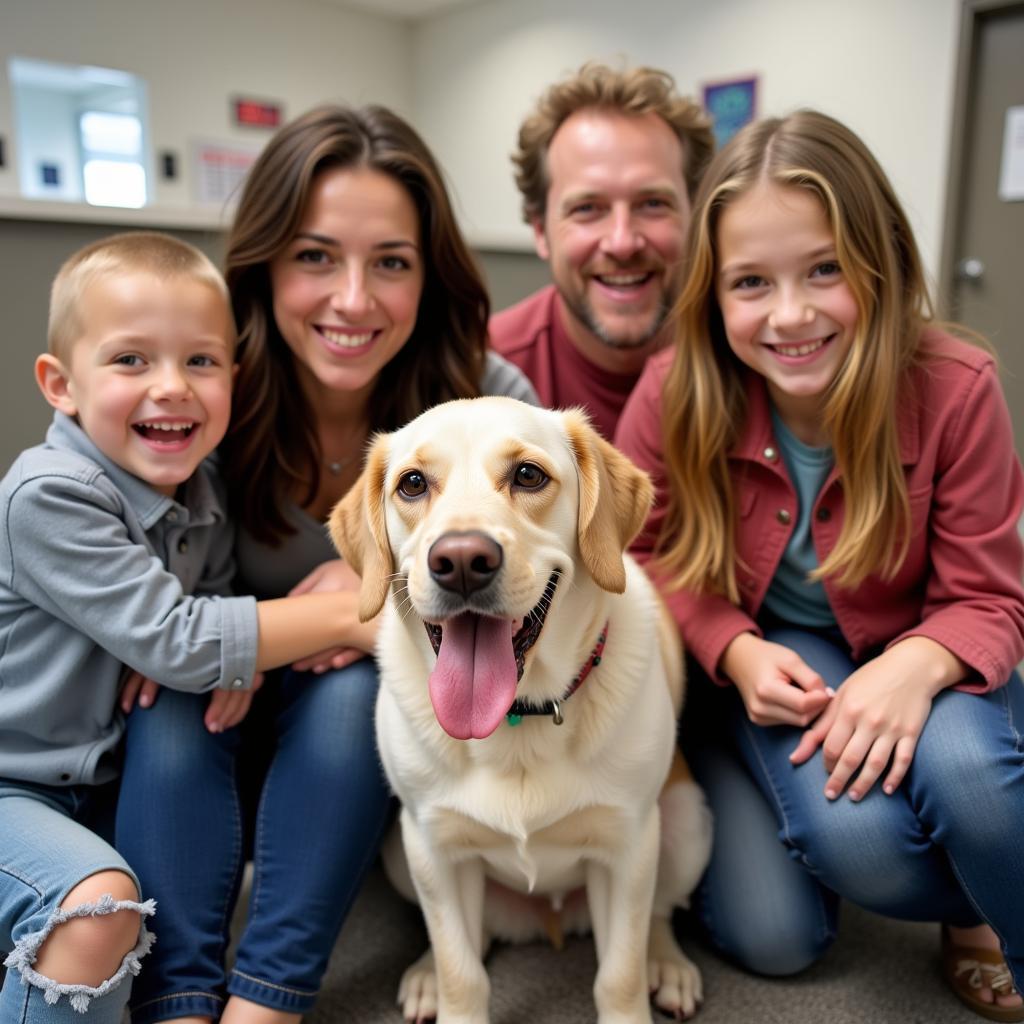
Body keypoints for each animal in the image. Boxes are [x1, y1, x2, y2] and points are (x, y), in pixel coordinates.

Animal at [329, 395, 712, 1019]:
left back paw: (667, 964)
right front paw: (447, 988)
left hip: (685, 824)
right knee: (471, 936)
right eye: (412, 484)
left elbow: (619, 973)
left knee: (657, 913)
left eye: (528, 475)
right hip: (401, 851)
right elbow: (461, 971)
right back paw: (426, 975)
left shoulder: (628, 845)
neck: (518, 719)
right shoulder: (432, 846)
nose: (461, 560)